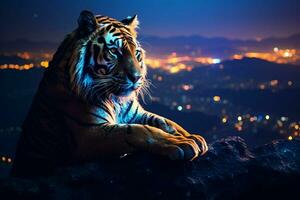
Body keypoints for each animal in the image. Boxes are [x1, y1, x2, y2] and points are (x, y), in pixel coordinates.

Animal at [11, 10, 209, 177]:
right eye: (114, 51)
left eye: (137, 53)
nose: (137, 77)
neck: (116, 100)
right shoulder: (88, 134)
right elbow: (137, 131)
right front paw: (179, 143)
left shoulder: (136, 114)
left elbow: (166, 122)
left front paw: (191, 136)